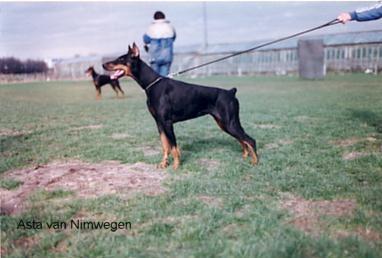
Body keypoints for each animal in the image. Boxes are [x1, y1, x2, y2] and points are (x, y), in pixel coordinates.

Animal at [102, 43, 256, 170]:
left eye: (121, 59)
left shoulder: (167, 122)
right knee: (242, 140)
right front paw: (163, 164)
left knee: (250, 140)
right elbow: (165, 146)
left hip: (229, 122)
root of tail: (230, 92)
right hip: (224, 123)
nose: (103, 65)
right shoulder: (159, 123)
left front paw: (176, 166)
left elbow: (174, 147)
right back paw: (245, 157)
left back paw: (255, 162)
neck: (152, 84)